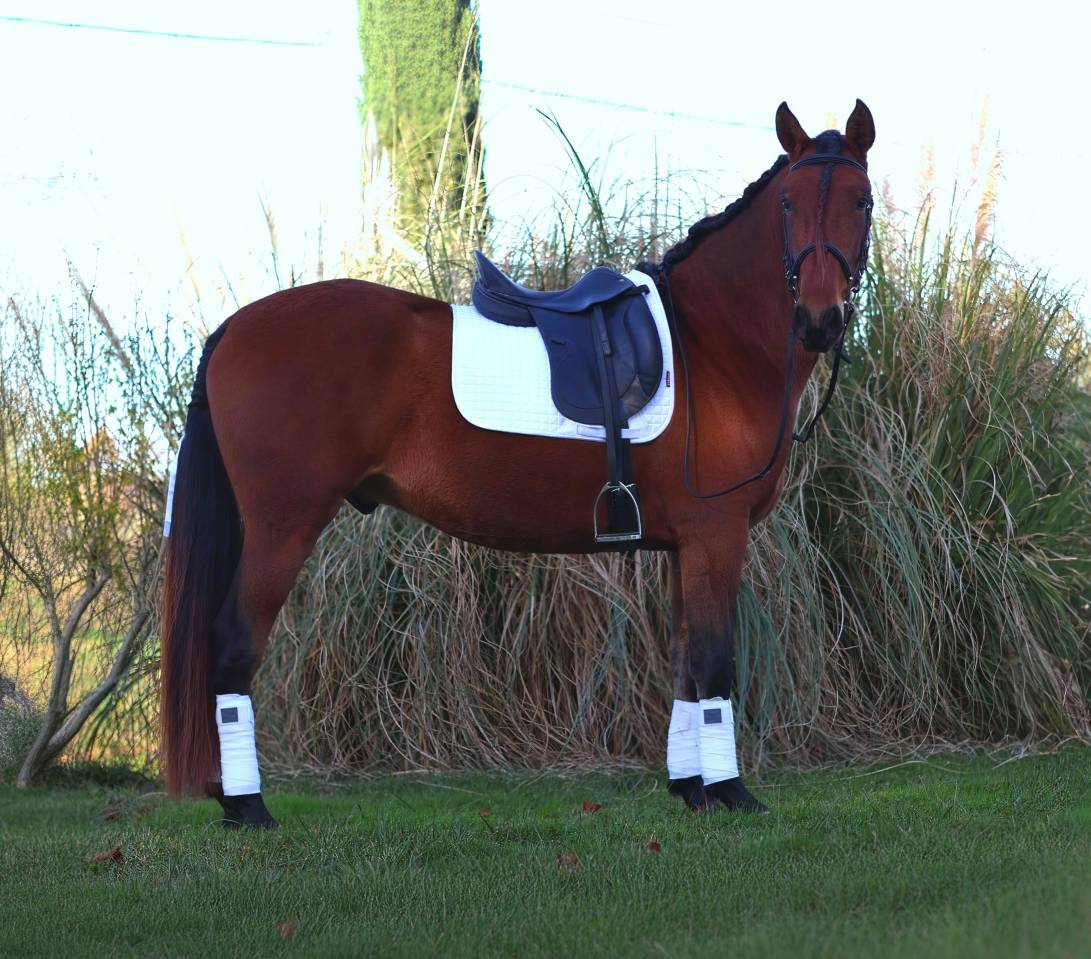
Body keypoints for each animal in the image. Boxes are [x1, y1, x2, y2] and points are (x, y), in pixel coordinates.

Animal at [161, 100, 875, 827]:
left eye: (861, 200)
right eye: (787, 203)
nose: (819, 319)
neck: (709, 344)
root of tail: (235, 327)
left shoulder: (685, 546)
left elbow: (682, 662)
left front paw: (691, 788)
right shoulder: (716, 535)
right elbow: (713, 662)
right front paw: (731, 792)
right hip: (283, 527)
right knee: (233, 644)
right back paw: (247, 805)